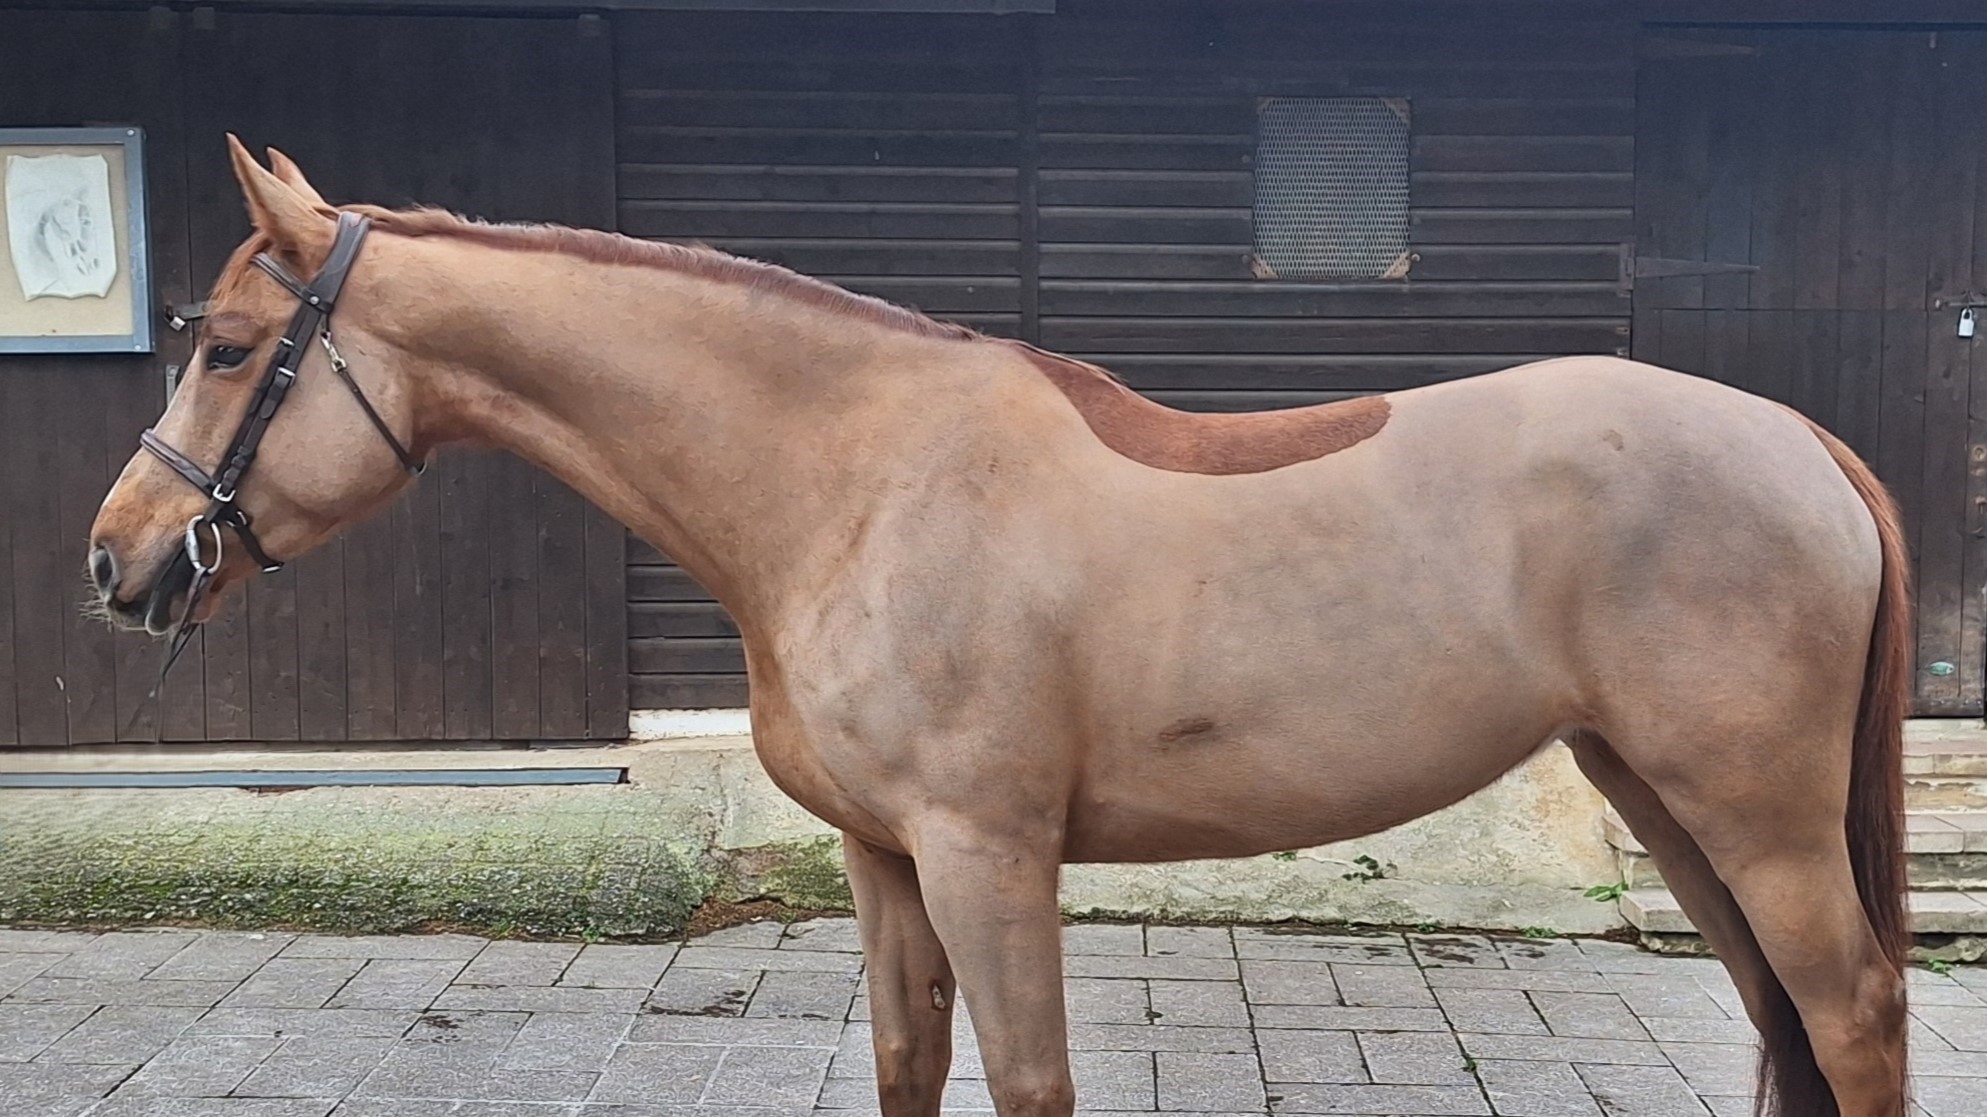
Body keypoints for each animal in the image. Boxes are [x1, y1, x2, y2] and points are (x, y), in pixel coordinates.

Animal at [88, 138, 1911, 1117]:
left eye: (234, 345)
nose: (117, 559)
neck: (852, 473)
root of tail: (1800, 441)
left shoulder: (986, 850)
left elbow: (1029, 1081)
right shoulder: (887, 860)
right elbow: (911, 1066)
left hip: (1751, 814)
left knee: (1849, 1012)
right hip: (1660, 798)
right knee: (1782, 1020)